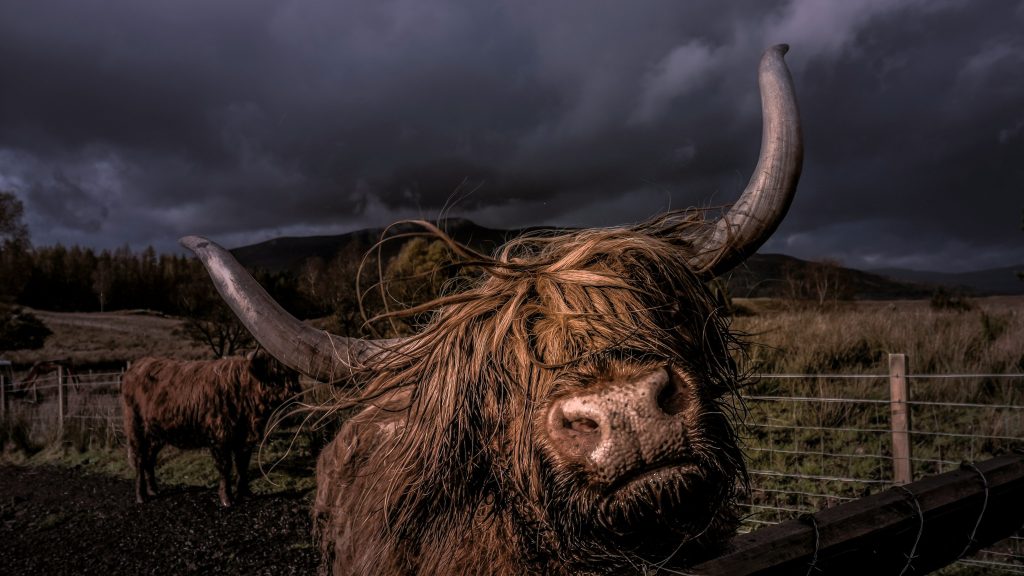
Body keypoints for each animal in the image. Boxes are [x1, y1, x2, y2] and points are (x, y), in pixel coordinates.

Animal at [121, 351, 301, 507]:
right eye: (275, 374)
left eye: (293, 374)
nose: (297, 392)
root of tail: (137, 366)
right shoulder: (219, 438)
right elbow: (225, 467)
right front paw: (227, 499)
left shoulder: (244, 440)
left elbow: (242, 466)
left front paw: (246, 493)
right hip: (136, 428)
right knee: (139, 460)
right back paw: (141, 496)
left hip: (156, 434)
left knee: (149, 459)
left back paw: (153, 490)